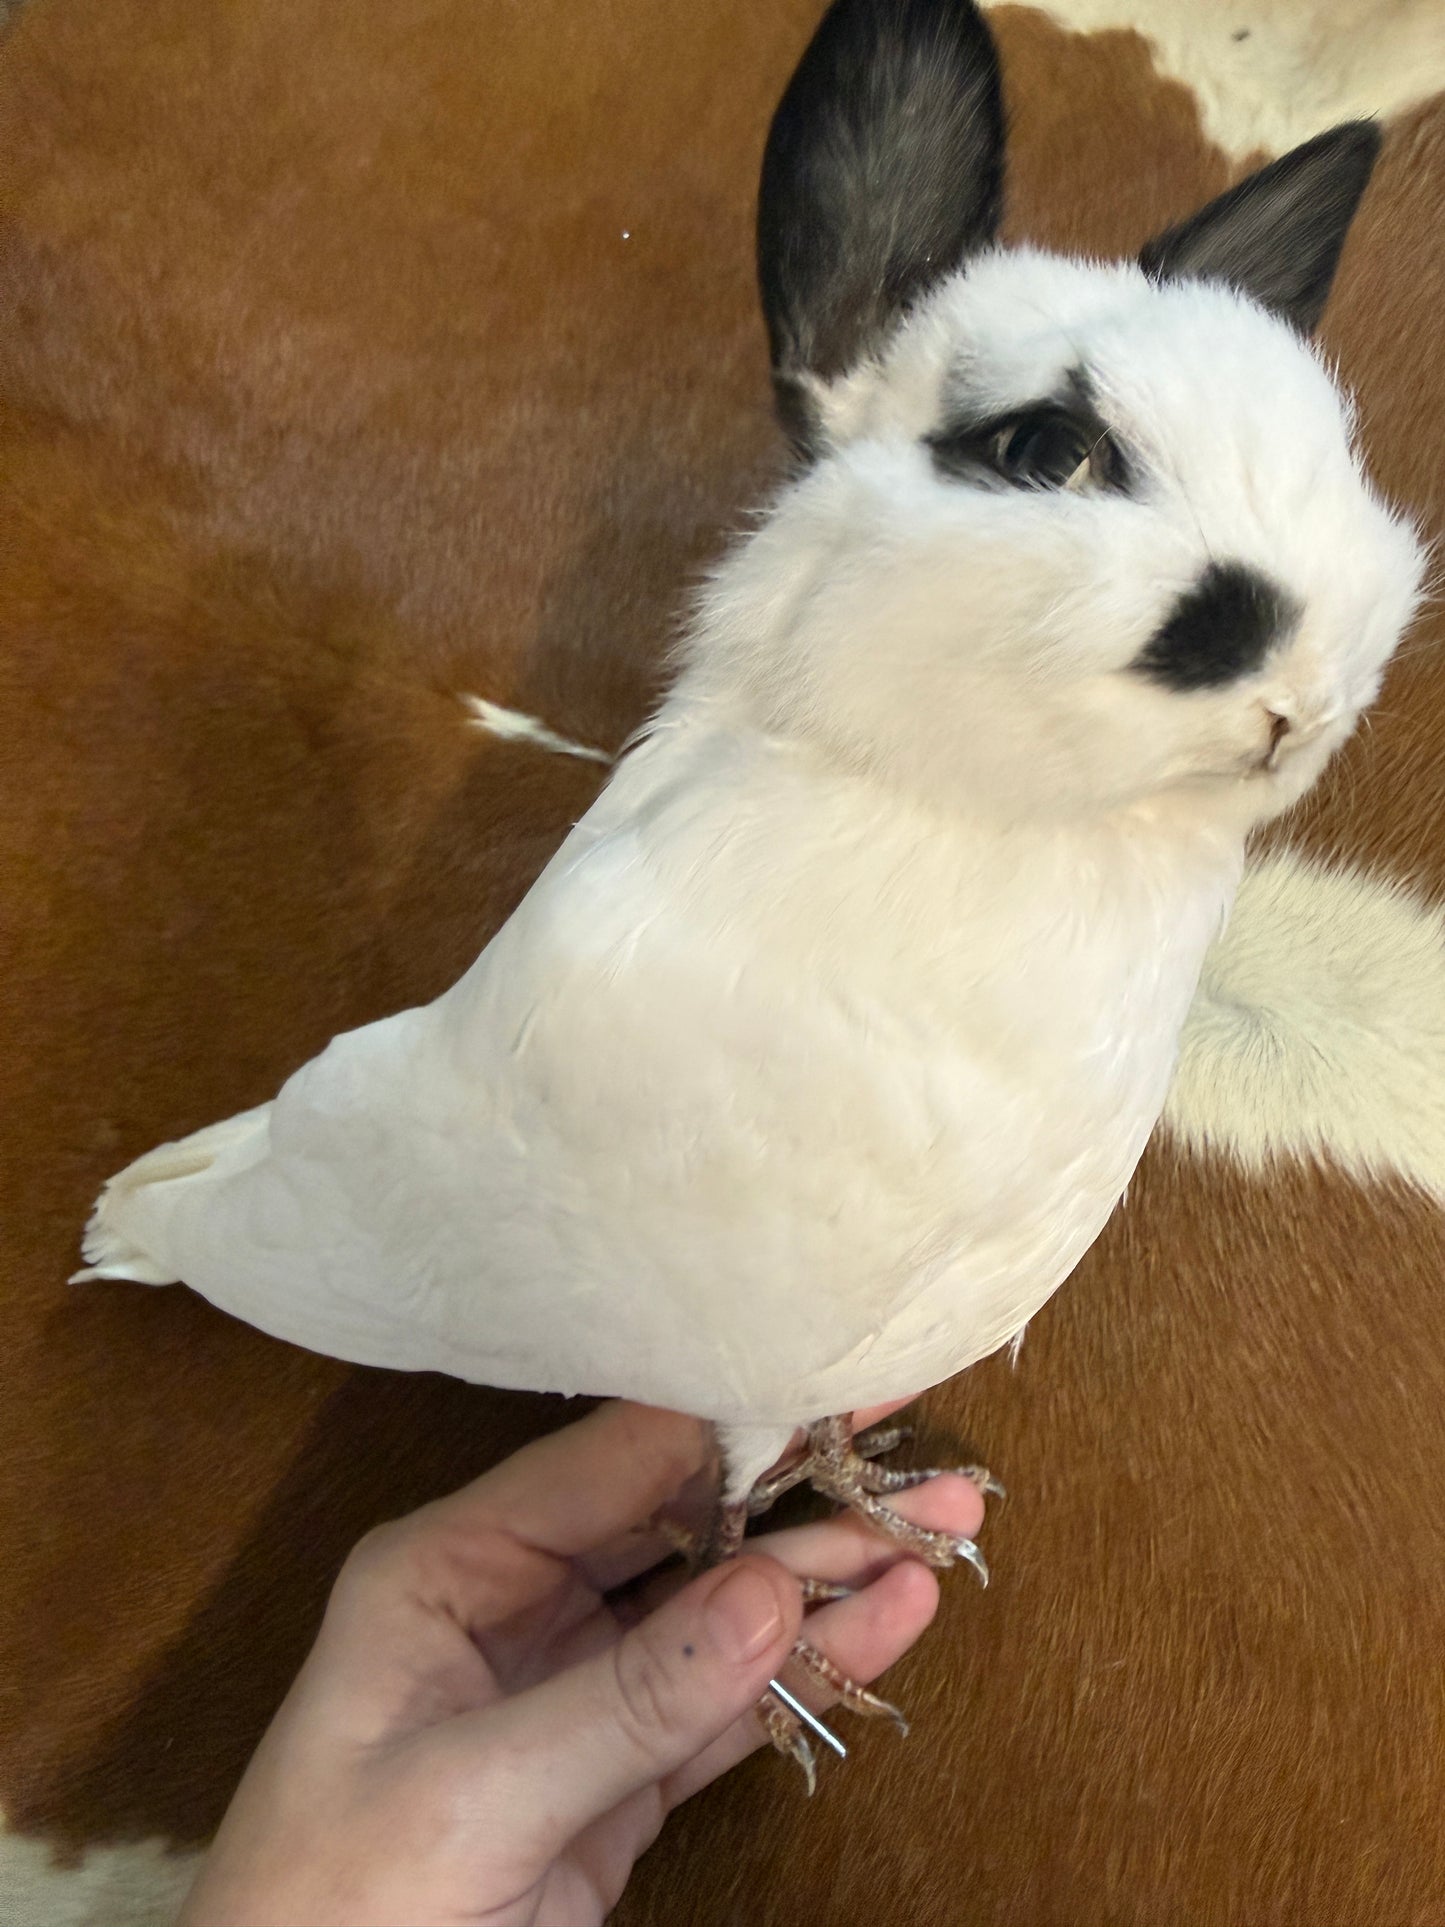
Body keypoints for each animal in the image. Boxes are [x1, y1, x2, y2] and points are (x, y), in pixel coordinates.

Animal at [75, 0, 1422, 1775]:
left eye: (1336, 453)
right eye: (1047, 449)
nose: (1302, 687)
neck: (1014, 823)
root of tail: (207, 1174)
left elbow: (817, 1444)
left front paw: (889, 1498)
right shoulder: (758, 1355)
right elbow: (721, 1511)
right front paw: (793, 1675)